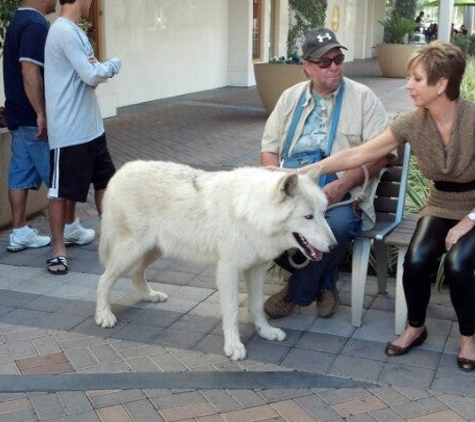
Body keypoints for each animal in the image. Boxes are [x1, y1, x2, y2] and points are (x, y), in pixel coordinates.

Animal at [95, 162, 336, 360]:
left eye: (323, 213)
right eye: (308, 217)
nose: (334, 247)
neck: (253, 213)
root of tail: (119, 172)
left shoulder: (256, 269)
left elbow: (257, 306)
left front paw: (266, 332)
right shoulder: (228, 271)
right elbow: (231, 313)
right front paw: (233, 347)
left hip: (153, 250)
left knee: (136, 274)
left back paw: (150, 296)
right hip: (132, 250)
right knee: (104, 280)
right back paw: (104, 315)